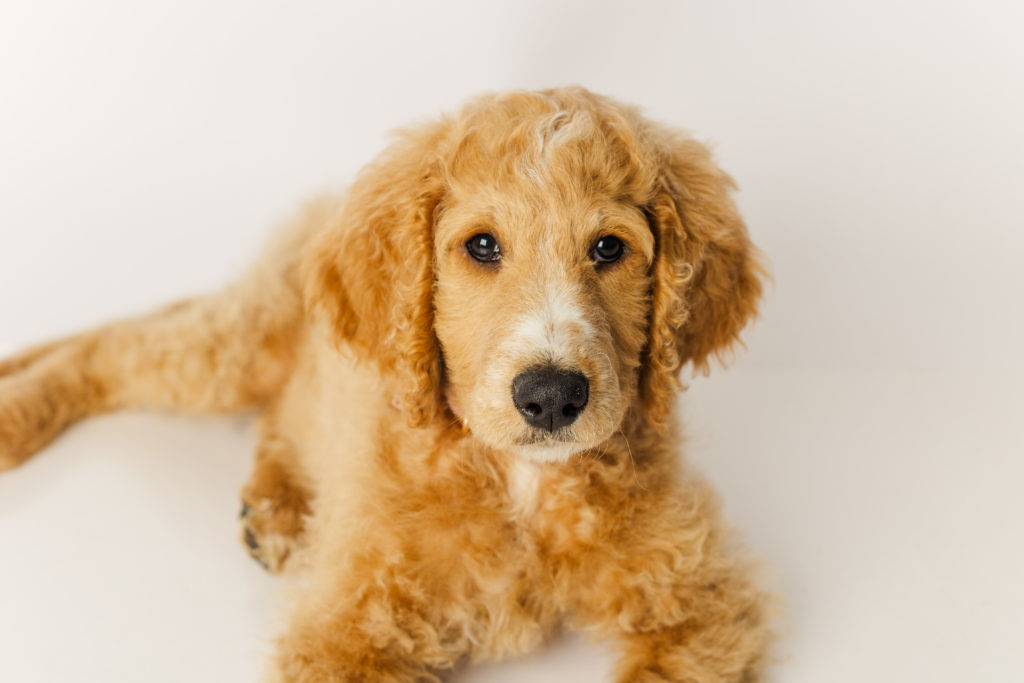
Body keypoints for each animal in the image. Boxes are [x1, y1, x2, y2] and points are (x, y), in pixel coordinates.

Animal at [0, 88, 770, 679]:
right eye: (482, 246)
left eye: (610, 248)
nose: (551, 395)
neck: (519, 482)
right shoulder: (343, 630)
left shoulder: (699, 600)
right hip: (236, 347)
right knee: (113, 348)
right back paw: (15, 414)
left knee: (278, 413)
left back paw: (276, 509)